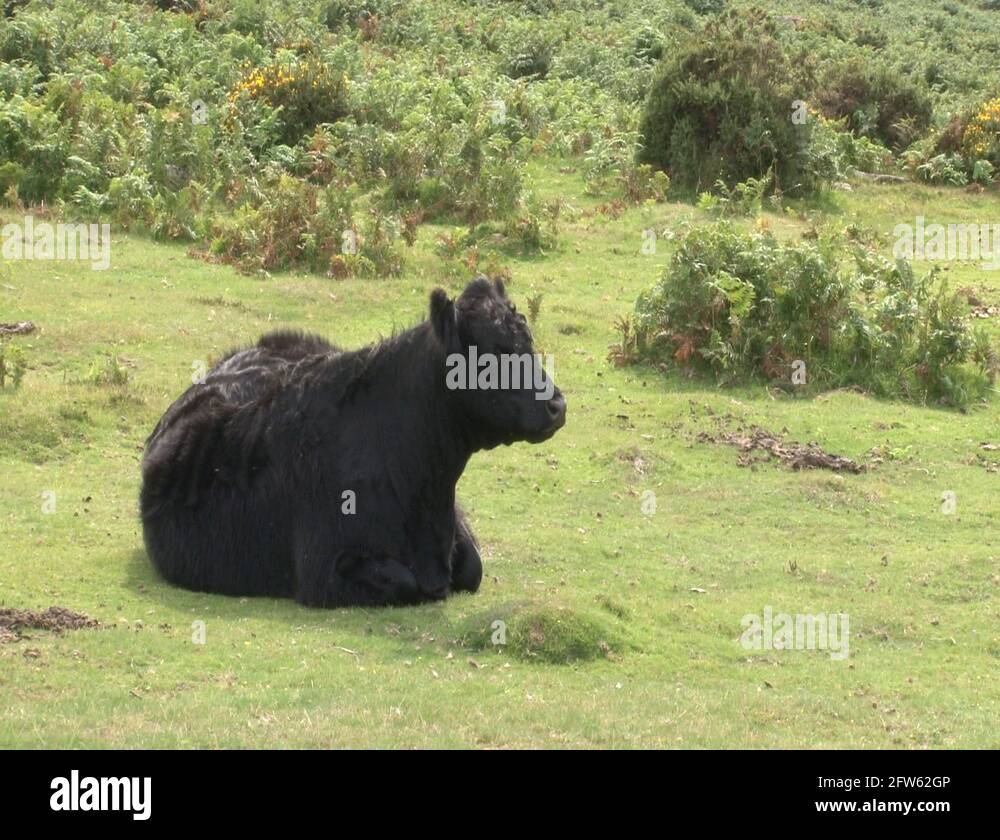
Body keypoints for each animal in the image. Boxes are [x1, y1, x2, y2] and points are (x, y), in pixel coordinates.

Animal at [139, 276, 566, 608]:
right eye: (492, 351)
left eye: (527, 339)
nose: (557, 405)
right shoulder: (324, 569)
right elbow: (405, 581)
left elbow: (473, 567)